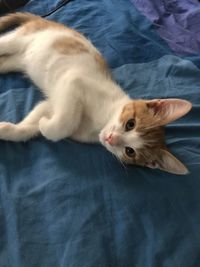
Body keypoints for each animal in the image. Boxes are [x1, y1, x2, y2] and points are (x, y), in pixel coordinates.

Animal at [0, 13, 192, 176]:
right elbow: (64, 122)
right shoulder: (73, 82)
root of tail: (44, 20)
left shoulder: (53, 104)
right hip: (21, 39)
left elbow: (39, 120)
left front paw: (22, 128)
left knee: (4, 62)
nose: (111, 138)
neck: (98, 123)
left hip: (16, 61)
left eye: (129, 151)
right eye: (130, 124)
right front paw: (45, 124)